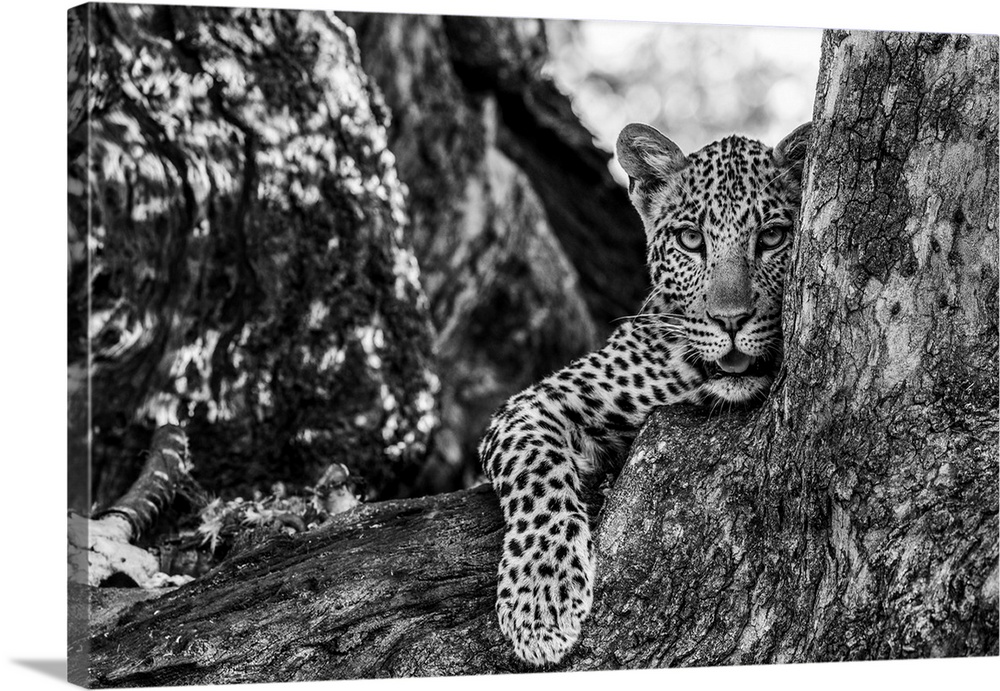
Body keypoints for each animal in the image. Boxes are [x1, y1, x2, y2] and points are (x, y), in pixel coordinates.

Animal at [479, 121, 812, 665]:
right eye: (691, 240)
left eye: (774, 237)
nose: (731, 320)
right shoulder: (533, 402)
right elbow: (536, 472)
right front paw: (540, 599)